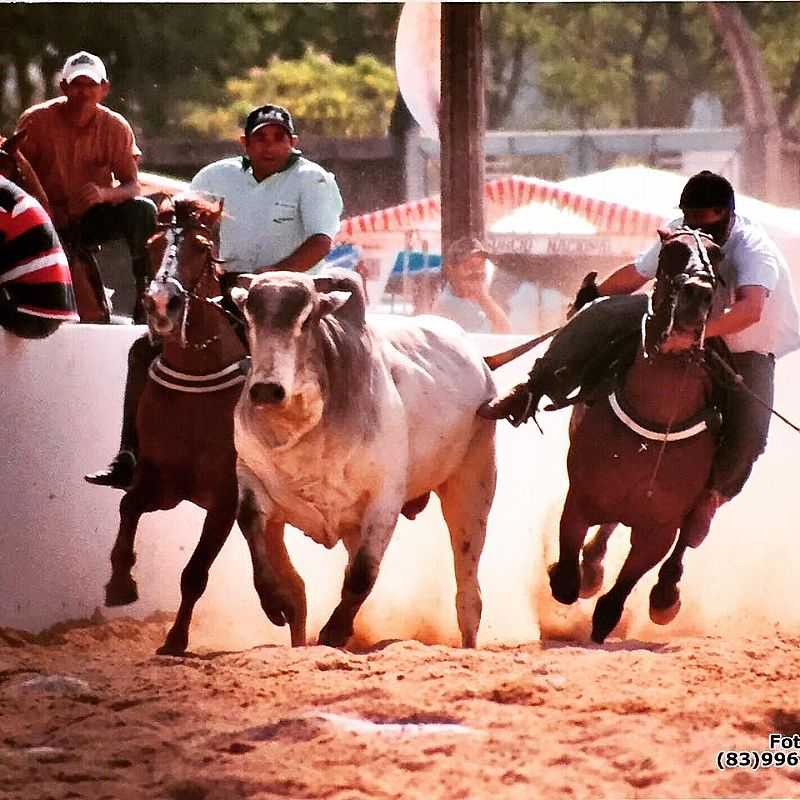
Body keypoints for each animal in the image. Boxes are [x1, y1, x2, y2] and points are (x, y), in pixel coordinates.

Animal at [104, 195, 247, 656]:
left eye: (201, 247)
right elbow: (128, 506)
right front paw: (119, 584)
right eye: (152, 244)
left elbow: (195, 572)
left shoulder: (225, 498)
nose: (161, 303)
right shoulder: (162, 484)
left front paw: (175, 639)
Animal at [228, 272, 496, 648]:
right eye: (249, 317)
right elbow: (255, 532)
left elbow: (363, 573)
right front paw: (275, 601)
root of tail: (481, 362)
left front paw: (335, 631)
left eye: (307, 319)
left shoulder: (384, 500)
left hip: (472, 487)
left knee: (468, 590)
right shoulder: (250, 476)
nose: (267, 389)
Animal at [548, 227, 720, 644]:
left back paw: (664, 597)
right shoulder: (581, 495)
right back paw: (592, 569)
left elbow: (626, 583)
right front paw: (571, 575)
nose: (697, 294)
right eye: (671, 250)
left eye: (717, 255)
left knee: (690, 535)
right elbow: (566, 570)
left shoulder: (659, 526)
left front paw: (605, 619)